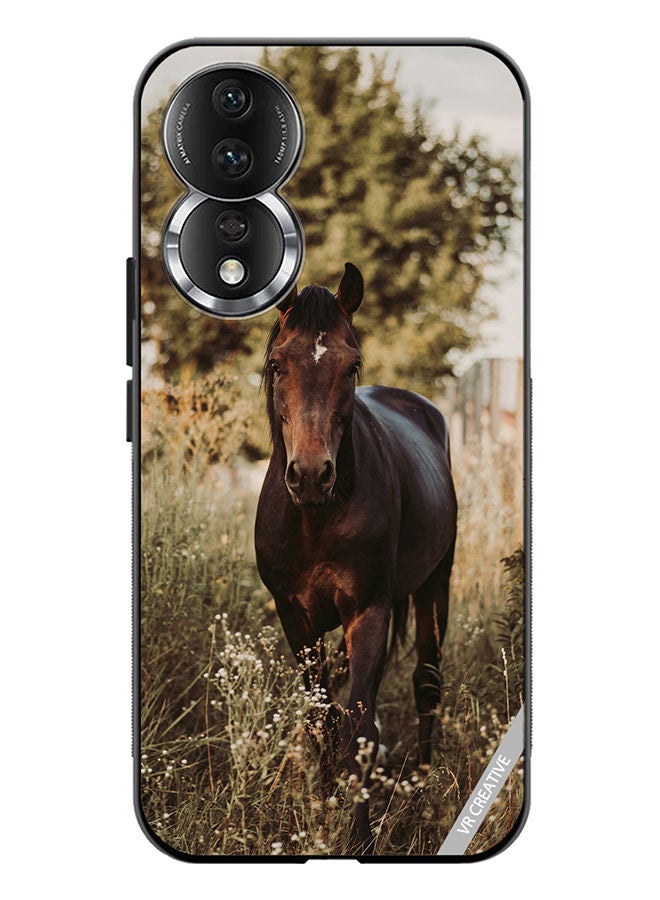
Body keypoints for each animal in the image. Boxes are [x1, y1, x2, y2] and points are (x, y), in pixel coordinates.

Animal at [254, 263, 457, 848]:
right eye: (276, 363)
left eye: (352, 365)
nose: (310, 475)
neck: (316, 518)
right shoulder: (295, 619)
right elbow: (321, 720)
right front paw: (323, 809)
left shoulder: (368, 612)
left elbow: (359, 727)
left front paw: (360, 837)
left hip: (435, 586)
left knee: (426, 685)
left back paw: (421, 787)